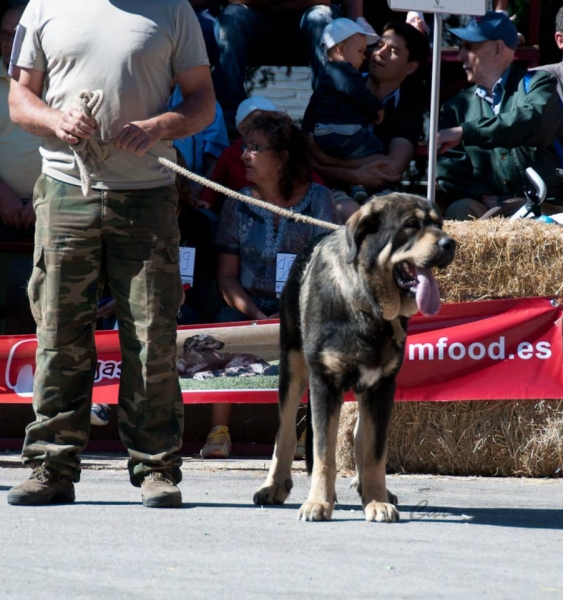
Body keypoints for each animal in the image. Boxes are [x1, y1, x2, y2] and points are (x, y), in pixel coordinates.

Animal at [253, 192, 456, 520]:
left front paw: (376, 500)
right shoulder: (324, 382)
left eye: (439, 225)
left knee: (361, 436)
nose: (450, 243)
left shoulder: (382, 386)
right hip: (293, 367)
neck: (367, 303)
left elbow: (374, 451)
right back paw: (273, 486)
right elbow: (324, 452)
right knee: (284, 432)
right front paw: (318, 502)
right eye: (411, 225)